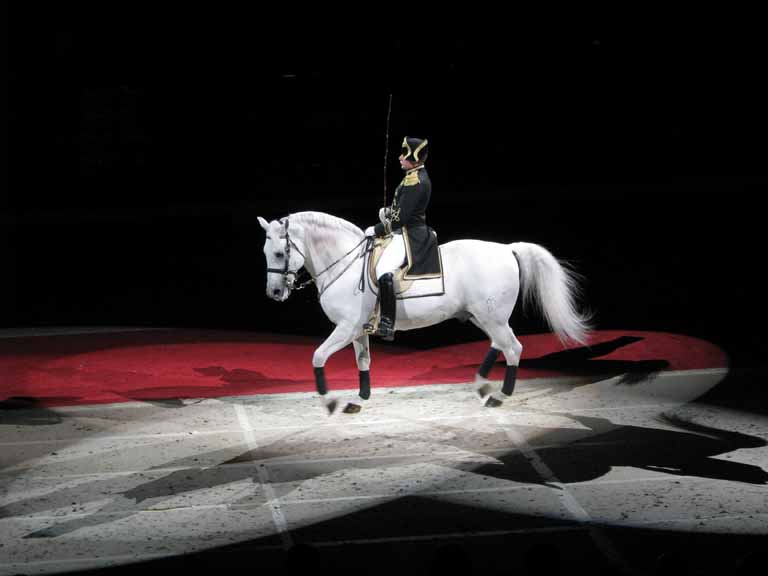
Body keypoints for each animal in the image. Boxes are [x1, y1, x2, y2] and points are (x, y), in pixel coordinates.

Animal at [260, 212, 592, 414]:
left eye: (279, 253)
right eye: (266, 253)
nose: (274, 293)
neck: (346, 264)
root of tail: (507, 248)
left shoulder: (345, 328)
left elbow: (317, 356)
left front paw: (330, 401)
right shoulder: (357, 330)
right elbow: (363, 362)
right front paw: (358, 399)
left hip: (493, 317)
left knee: (513, 348)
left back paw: (498, 395)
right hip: (483, 317)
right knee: (501, 344)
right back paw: (482, 383)